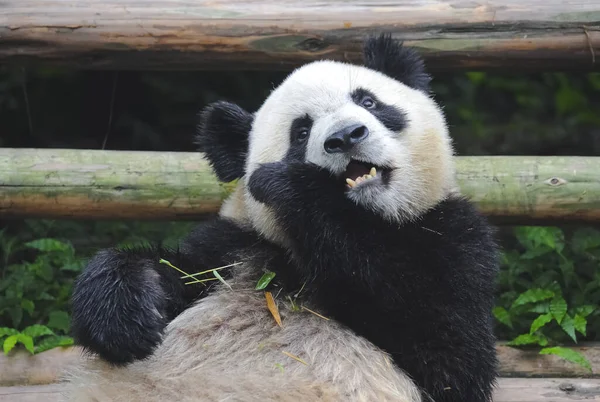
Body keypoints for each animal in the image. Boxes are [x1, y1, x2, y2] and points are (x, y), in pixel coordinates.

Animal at [65, 34, 500, 402]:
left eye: (369, 102)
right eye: (301, 132)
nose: (346, 136)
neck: (373, 220)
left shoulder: (457, 241)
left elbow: (448, 350)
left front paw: (293, 186)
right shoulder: (231, 246)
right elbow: (175, 270)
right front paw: (123, 315)